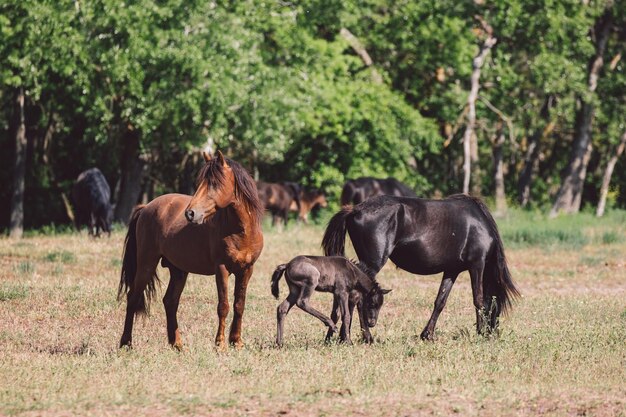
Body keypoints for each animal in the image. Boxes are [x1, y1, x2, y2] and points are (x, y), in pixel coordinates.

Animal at [118, 151, 262, 350]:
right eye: (201, 182)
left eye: (214, 183)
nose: (190, 214)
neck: (241, 231)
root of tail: (146, 207)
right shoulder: (222, 269)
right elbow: (223, 306)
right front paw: (220, 344)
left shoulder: (247, 269)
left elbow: (239, 304)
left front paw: (236, 341)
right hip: (147, 264)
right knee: (133, 297)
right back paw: (126, 343)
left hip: (178, 270)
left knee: (170, 301)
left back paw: (177, 344)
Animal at [320, 193, 520, 340]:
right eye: (498, 307)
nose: (493, 333)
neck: (479, 224)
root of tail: (354, 209)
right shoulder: (477, 265)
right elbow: (478, 300)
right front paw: (479, 332)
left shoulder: (452, 270)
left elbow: (440, 301)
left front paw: (427, 335)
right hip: (372, 263)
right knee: (357, 297)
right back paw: (364, 337)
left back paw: (333, 336)